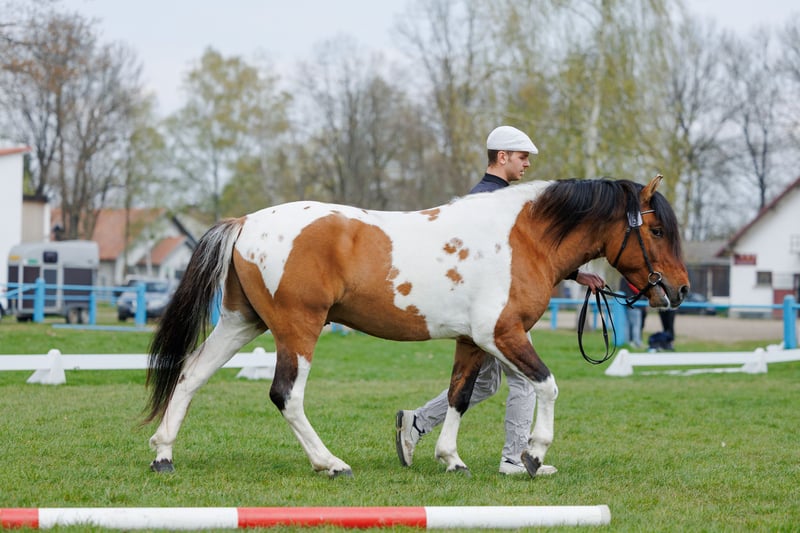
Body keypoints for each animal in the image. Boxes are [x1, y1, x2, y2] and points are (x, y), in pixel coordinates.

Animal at [144, 175, 688, 478]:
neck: (523, 238)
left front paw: (450, 458)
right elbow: (548, 385)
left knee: (191, 374)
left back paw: (163, 454)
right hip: (297, 329)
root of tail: (246, 222)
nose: (680, 290)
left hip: (243, 322)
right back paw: (330, 463)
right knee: (287, 396)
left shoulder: (472, 341)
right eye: (657, 229)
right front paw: (533, 454)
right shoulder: (502, 335)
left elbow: (459, 397)